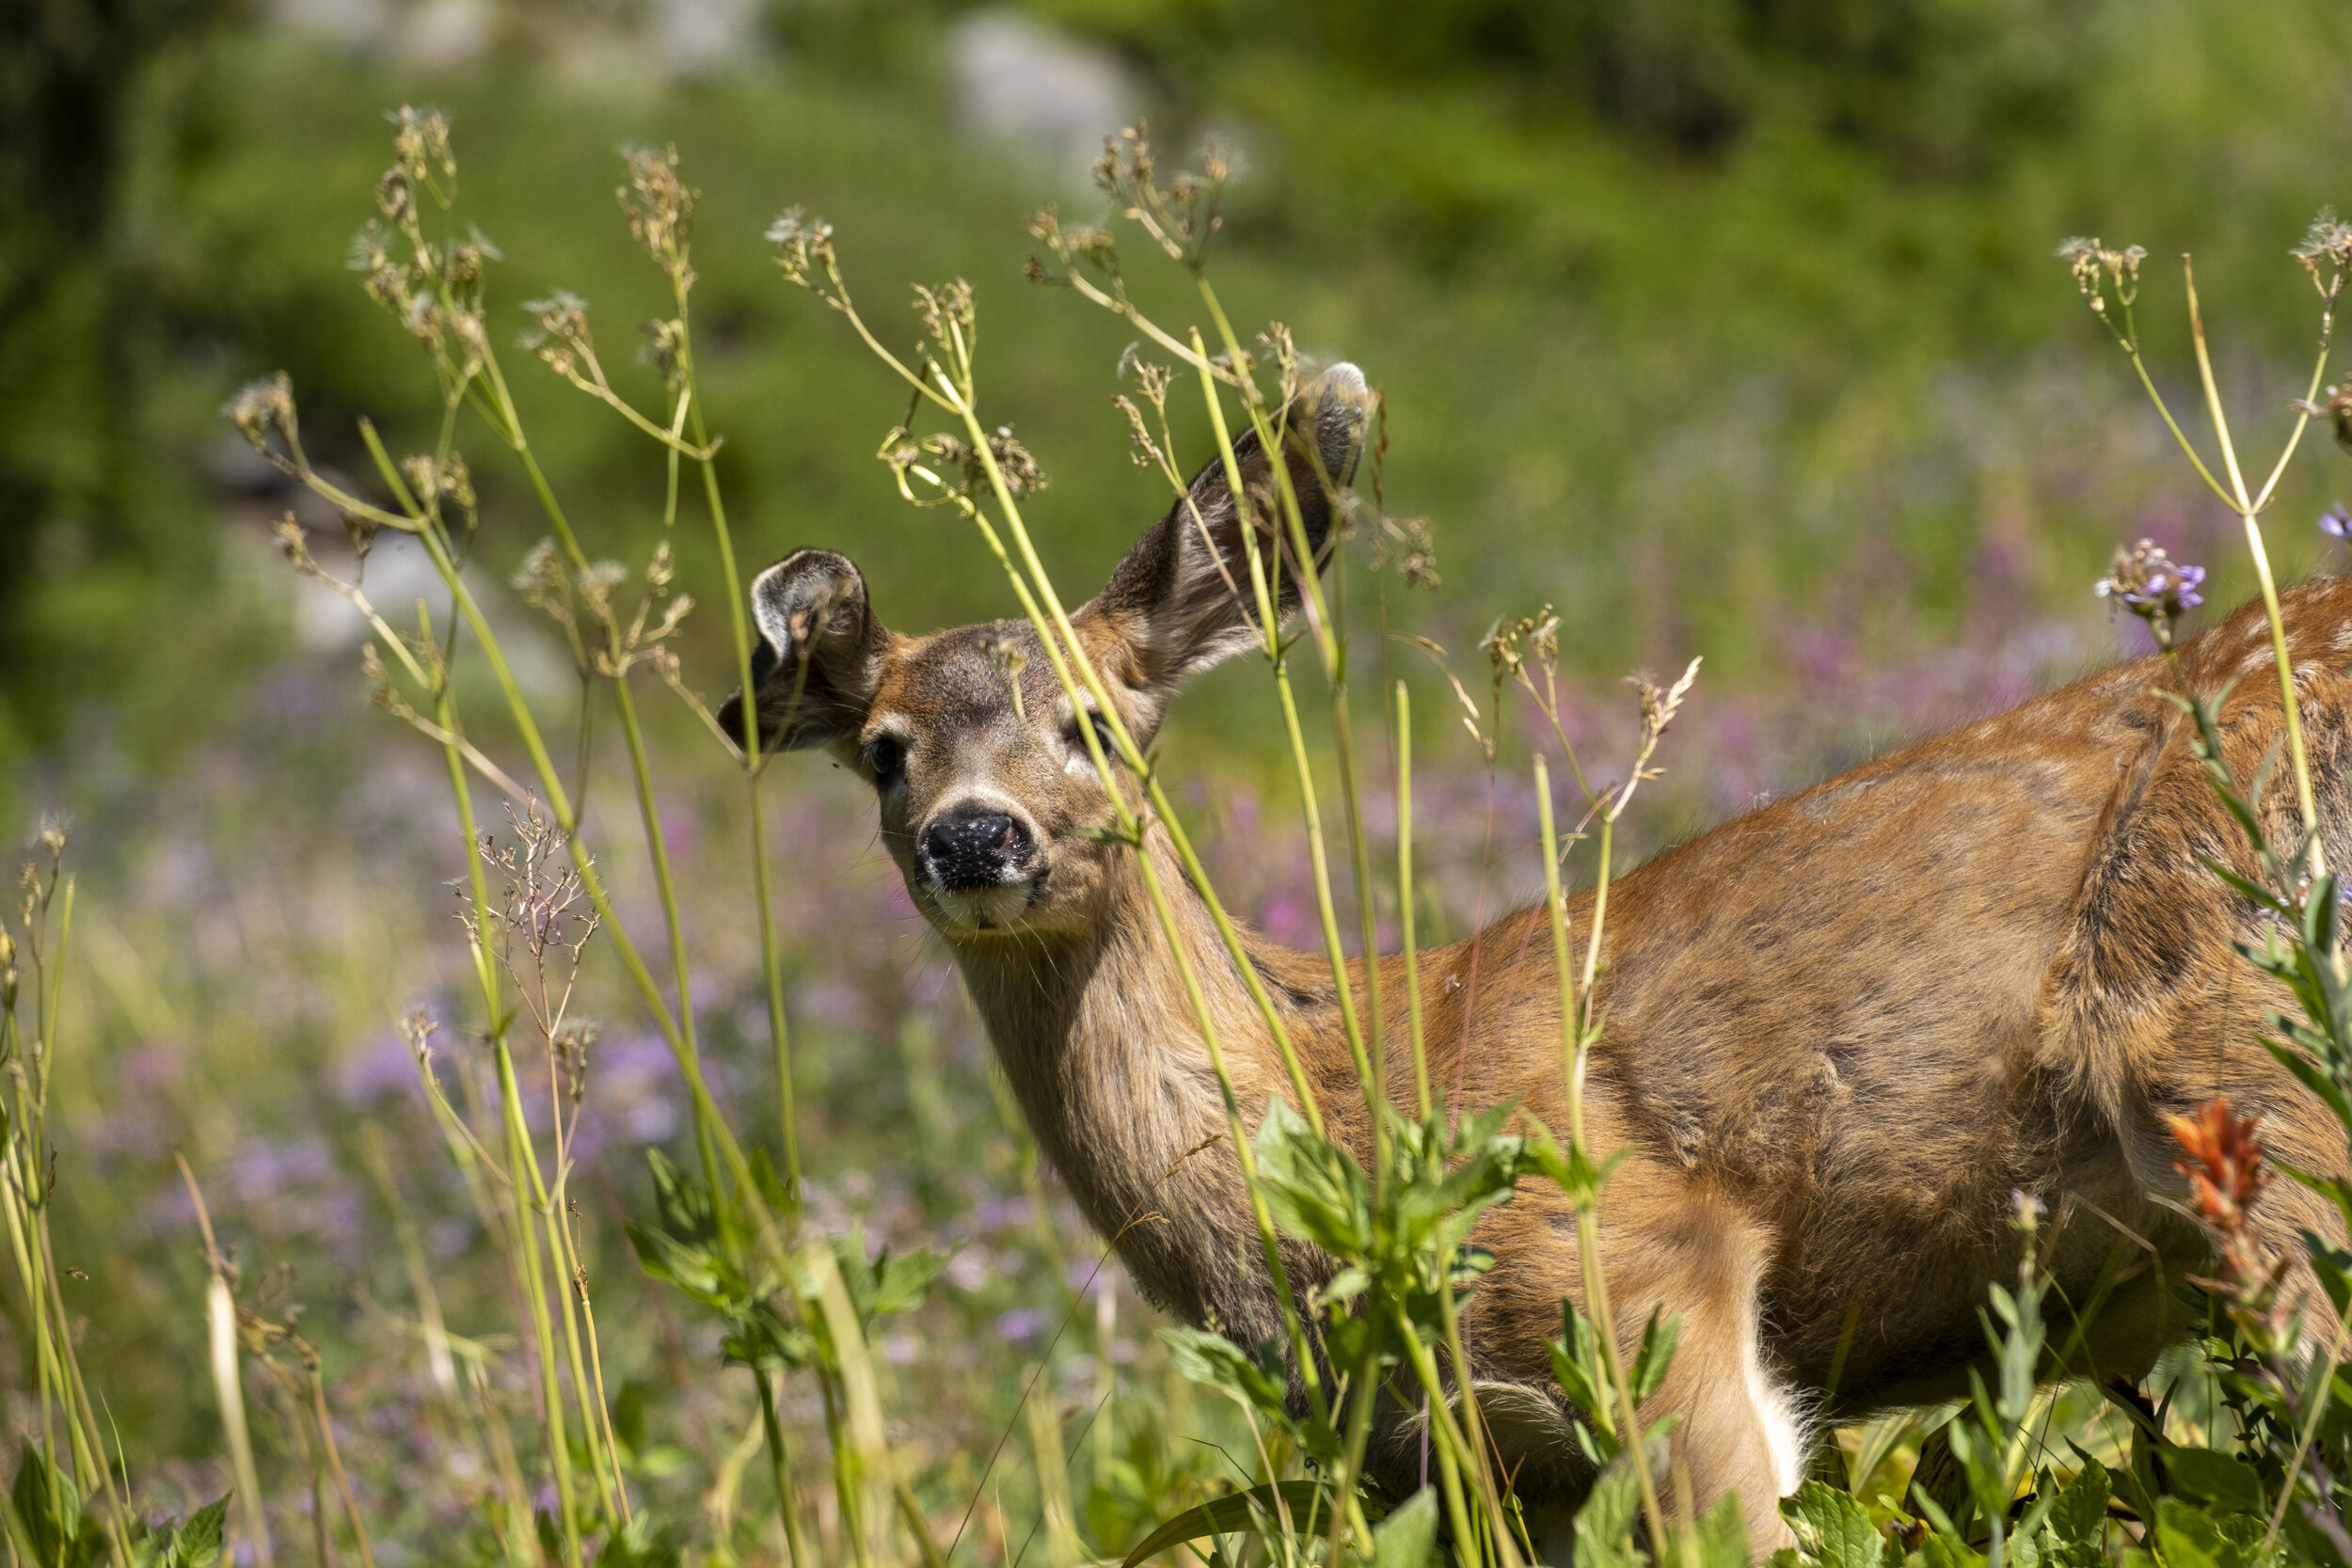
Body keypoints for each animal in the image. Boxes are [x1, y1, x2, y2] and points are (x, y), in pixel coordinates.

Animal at [717, 362, 2349, 1554]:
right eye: (883, 750)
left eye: (1101, 722)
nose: (974, 835)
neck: (1344, 1099)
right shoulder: (1475, 1465)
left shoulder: (1637, 1260)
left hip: (2251, 1061)